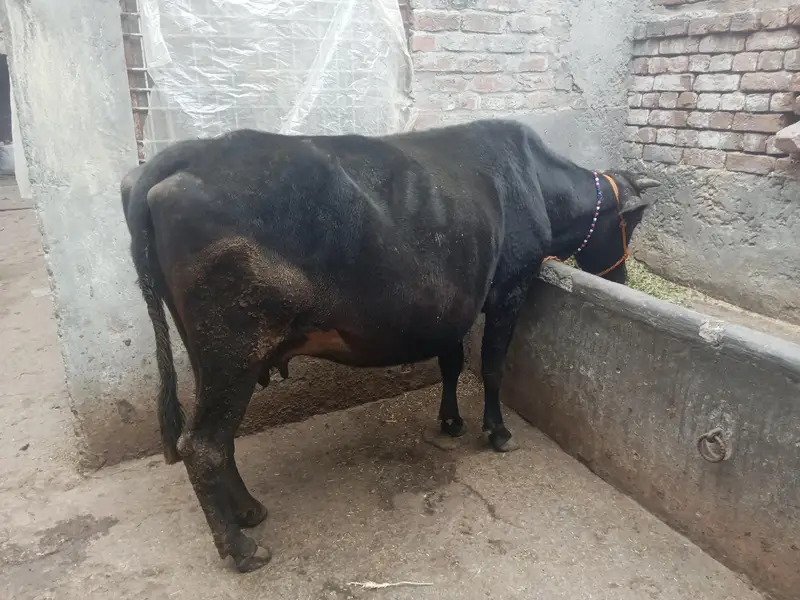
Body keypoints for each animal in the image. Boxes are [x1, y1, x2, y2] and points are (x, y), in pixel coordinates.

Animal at [120, 118, 661, 572]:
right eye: (630, 224)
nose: (624, 279)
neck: (536, 183)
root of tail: (173, 159)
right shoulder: (509, 289)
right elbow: (491, 368)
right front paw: (497, 432)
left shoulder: (451, 307)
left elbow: (451, 362)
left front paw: (450, 422)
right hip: (232, 348)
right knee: (204, 445)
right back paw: (242, 548)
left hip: (209, 353)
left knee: (220, 438)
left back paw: (250, 511)